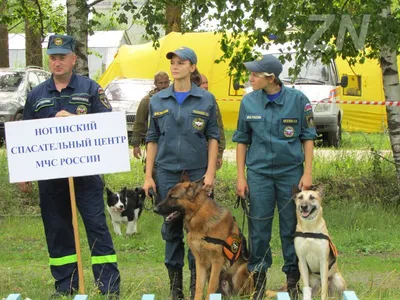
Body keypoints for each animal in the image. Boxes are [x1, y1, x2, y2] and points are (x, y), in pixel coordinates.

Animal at [154, 172, 252, 300]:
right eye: (167, 196)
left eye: (172, 197)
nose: (154, 209)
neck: (197, 213)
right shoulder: (200, 262)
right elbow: (199, 287)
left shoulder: (217, 261)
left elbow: (210, 287)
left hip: (242, 270)